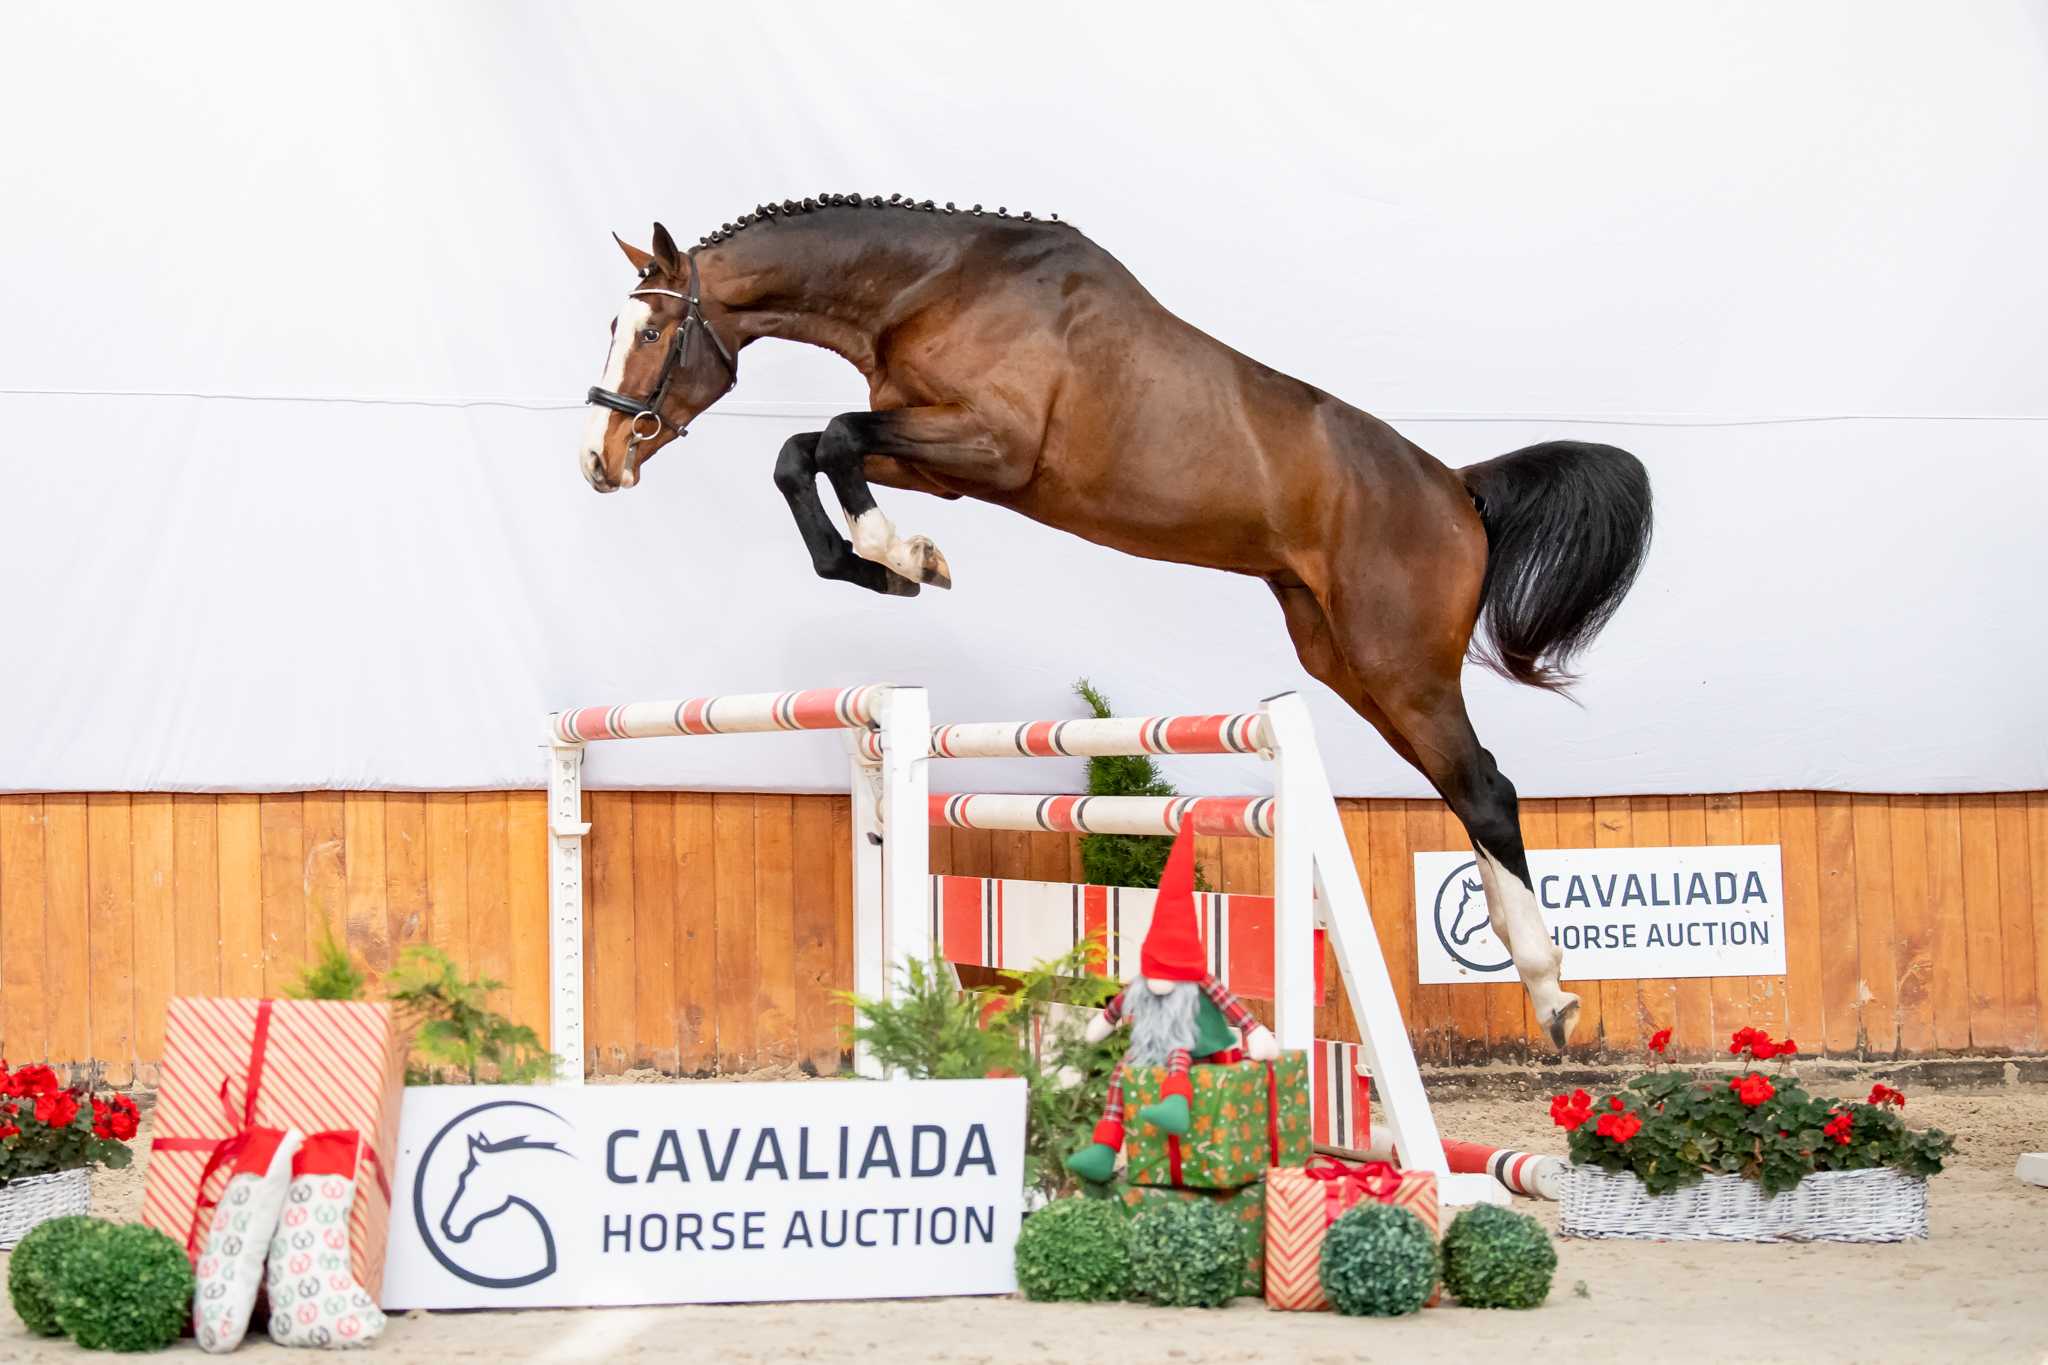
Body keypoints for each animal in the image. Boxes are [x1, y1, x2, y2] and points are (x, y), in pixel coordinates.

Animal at [578, 195, 1652, 1052]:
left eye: (649, 333)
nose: (599, 459)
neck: (931, 285)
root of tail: (1459, 490)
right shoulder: (945, 456)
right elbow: (804, 453)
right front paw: (884, 565)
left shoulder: (991, 445)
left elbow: (833, 437)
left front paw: (901, 556)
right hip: (1342, 655)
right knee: (1464, 786)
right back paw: (1529, 968)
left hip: (1399, 660)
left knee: (1486, 788)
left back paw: (1553, 993)